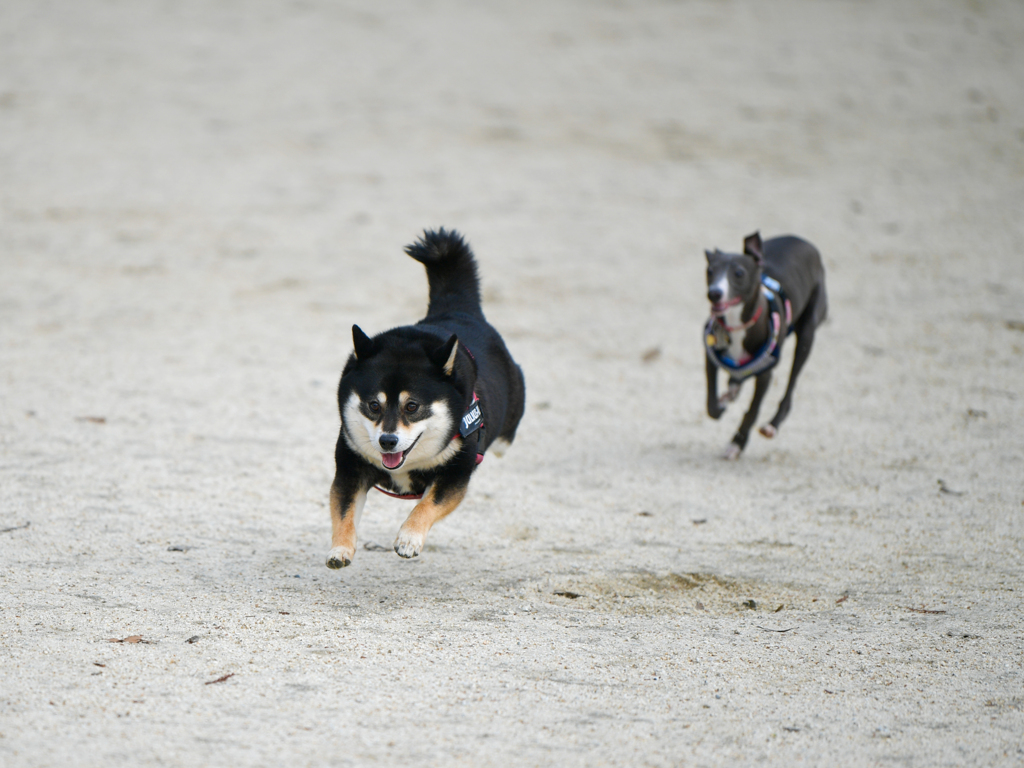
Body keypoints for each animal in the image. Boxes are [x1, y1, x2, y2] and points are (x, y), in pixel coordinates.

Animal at [325, 225, 524, 569]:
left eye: (412, 406)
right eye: (373, 405)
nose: (387, 441)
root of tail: (456, 310)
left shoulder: (455, 474)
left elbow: (427, 504)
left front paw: (408, 538)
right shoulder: (350, 468)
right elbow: (344, 511)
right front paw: (340, 548)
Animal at [704, 231, 823, 460]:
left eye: (739, 273)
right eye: (710, 271)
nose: (714, 293)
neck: (738, 325)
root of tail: (802, 241)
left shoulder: (765, 375)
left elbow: (753, 411)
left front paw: (737, 444)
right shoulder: (710, 358)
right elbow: (711, 405)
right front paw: (720, 406)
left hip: (807, 334)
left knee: (790, 387)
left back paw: (772, 425)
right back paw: (732, 390)